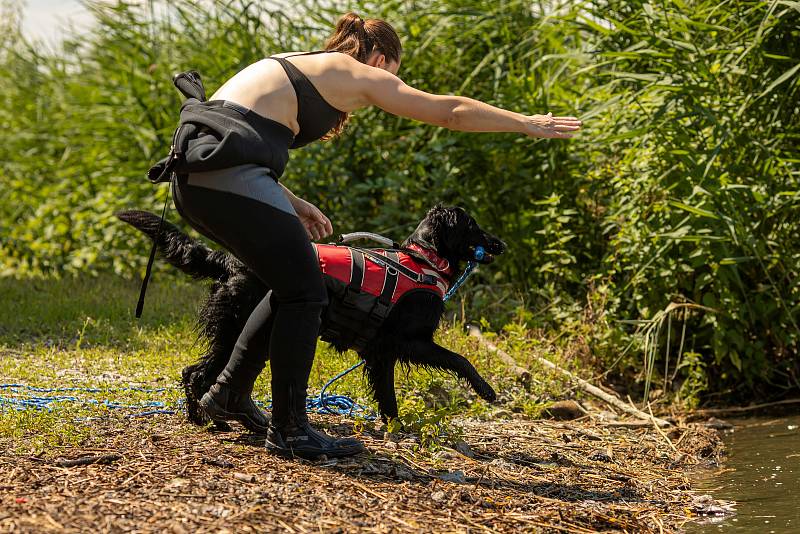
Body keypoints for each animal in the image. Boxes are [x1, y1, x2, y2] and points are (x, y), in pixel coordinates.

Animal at [117, 205, 506, 428]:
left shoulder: (380, 353)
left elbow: (386, 395)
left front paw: (393, 427)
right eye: (473, 226)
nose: (500, 244)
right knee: (198, 374)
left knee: (195, 372)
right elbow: (460, 359)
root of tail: (232, 261)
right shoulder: (407, 342)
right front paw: (486, 390)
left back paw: (210, 418)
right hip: (235, 328)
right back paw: (208, 420)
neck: (425, 261)